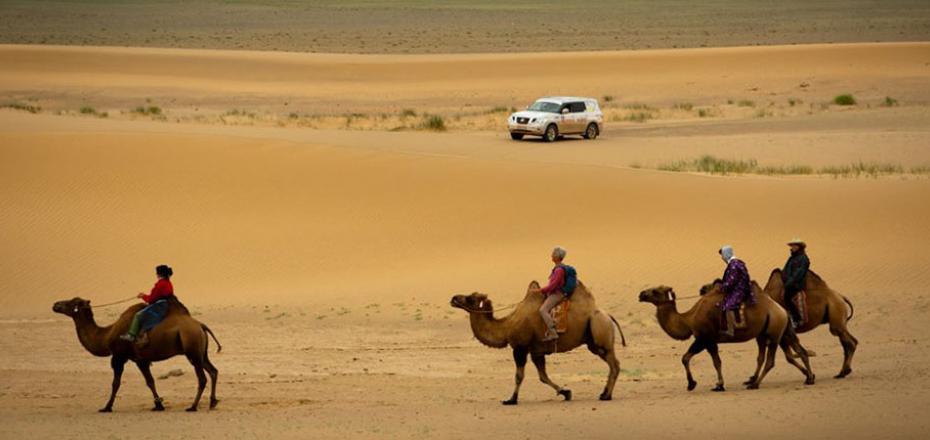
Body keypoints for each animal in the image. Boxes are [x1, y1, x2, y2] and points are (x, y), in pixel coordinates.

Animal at [52, 296, 221, 412]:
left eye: (72, 303)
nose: (55, 304)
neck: (107, 335)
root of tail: (201, 325)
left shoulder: (119, 357)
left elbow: (115, 383)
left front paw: (107, 407)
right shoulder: (141, 359)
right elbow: (150, 381)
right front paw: (158, 405)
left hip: (192, 350)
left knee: (202, 378)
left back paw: (193, 406)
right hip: (201, 352)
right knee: (213, 371)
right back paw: (212, 402)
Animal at [448, 282, 624, 406]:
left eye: (470, 298)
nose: (453, 298)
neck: (507, 326)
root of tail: (608, 315)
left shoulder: (520, 348)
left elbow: (519, 376)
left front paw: (511, 399)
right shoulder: (536, 352)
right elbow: (543, 376)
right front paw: (566, 392)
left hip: (600, 331)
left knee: (614, 364)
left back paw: (606, 396)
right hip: (594, 342)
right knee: (612, 364)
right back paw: (604, 393)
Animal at [640, 280, 812, 390]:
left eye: (655, 291)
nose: (641, 294)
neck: (688, 319)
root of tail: (781, 309)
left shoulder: (704, 338)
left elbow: (688, 358)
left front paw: (695, 384)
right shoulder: (710, 342)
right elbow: (715, 361)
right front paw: (717, 384)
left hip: (774, 332)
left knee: (771, 361)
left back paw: (754, 384)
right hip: (774, 331)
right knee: (793, 352)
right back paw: (809, 377)